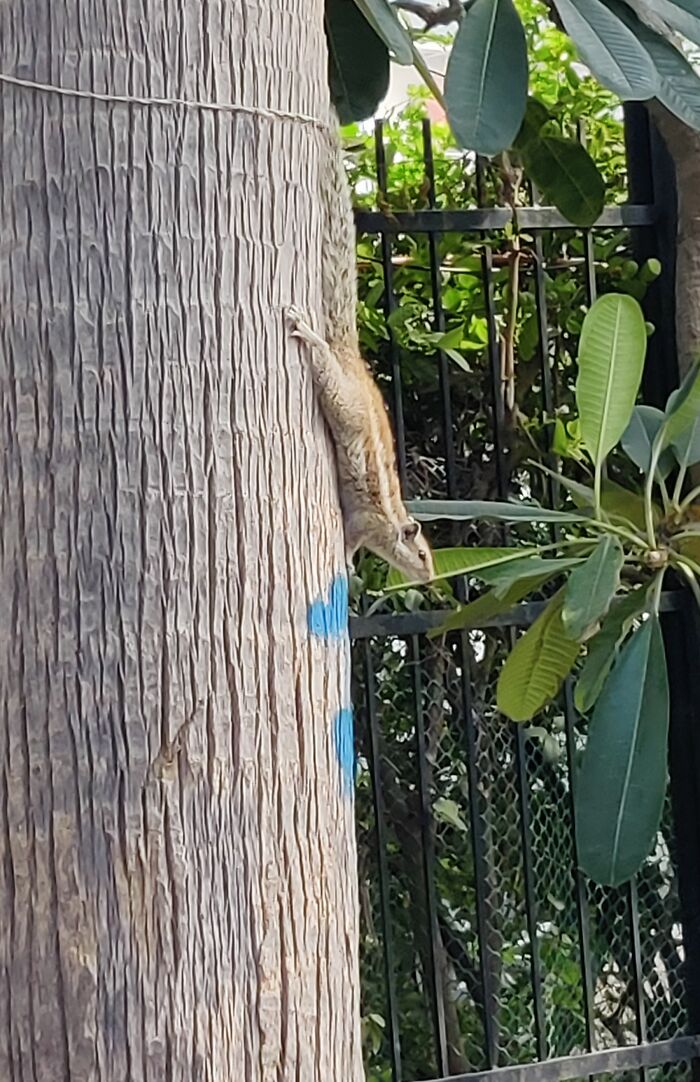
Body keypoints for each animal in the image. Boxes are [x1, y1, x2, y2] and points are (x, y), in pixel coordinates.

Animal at [287, 116, 434, 584]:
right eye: (421, 553)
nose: (431, 578)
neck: (391, 525)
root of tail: (351, 357)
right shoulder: (366, 521)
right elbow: (352, 536)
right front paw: (349, 564)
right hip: (343, 401)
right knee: (324, 367)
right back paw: (311, 336)